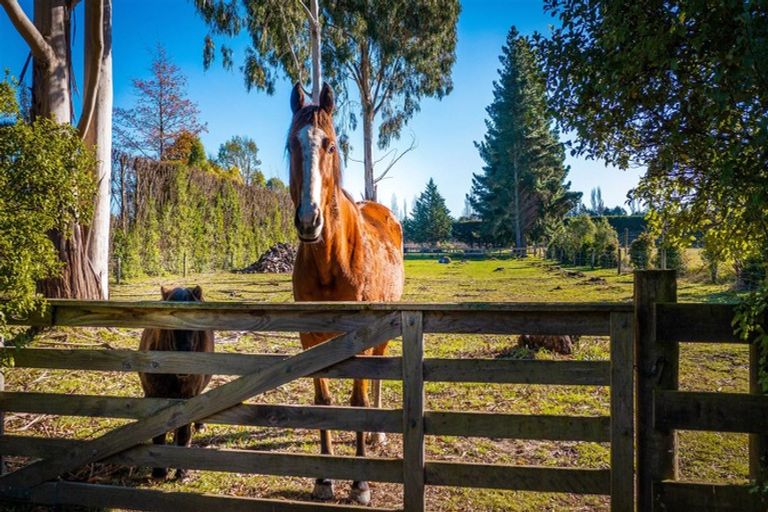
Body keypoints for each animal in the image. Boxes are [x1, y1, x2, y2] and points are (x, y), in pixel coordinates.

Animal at [288, 84, 404, 504]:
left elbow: (358, 400)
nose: (309, 220)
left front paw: (360, 483)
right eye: (291, 145)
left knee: (380, 372)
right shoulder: (309, 338)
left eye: (331, 145)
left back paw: (377, 434)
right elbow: (323, 401)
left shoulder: (361, 337)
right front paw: (323, 480)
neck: (330, 262)